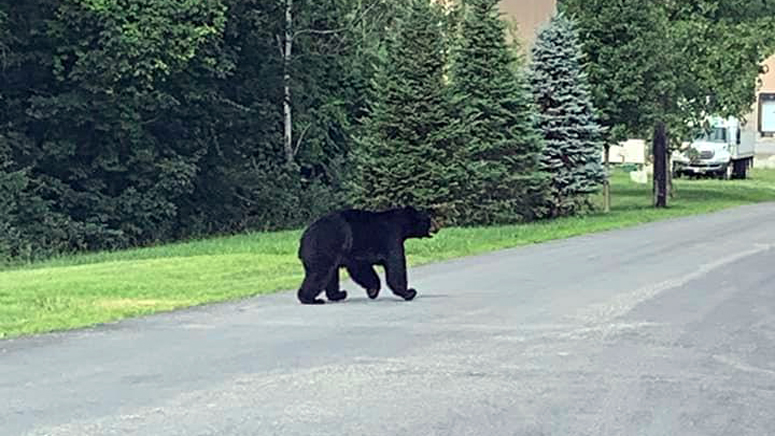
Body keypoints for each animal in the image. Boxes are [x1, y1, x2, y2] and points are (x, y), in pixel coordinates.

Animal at [298, 206, 440, 304]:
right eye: (429, 219)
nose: (437, 227)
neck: (401, 225)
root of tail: (303, 238)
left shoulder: (356, 255)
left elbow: (362, 268)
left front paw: (372, 290)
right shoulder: (391, 239)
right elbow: (395, 266)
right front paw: (409, 292)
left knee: (331, 274)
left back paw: (338, 294)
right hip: (325, 247)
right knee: (319, 273)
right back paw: (310, 299)